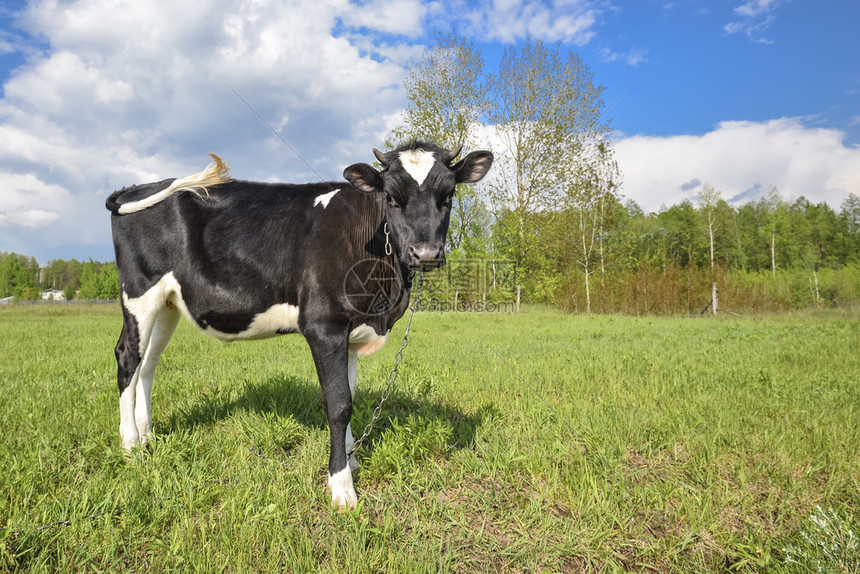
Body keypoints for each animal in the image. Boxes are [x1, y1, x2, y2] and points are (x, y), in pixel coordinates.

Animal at [106, 143, 494, 508]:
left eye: (448, 195)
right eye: (391, 197)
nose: (425, 253)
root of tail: (139, 186)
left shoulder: (352, 333)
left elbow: (350, 395)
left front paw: (351, 460)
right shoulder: (324, 326)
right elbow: (338, 405)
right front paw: (341, 486)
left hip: (168, 302)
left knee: (148, 364)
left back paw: (148, 435)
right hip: (139, 291)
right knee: (128, 357)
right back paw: (130, 446)